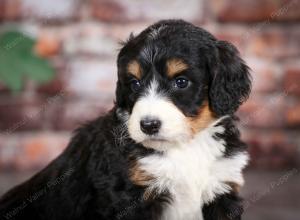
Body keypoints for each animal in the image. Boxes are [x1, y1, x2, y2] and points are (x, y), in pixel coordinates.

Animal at [0, 19, 251, 220]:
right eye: (135, 83)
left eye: (181, 82)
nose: (148, 125)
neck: (184, 147)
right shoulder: (130, 197)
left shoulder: (222, 189)